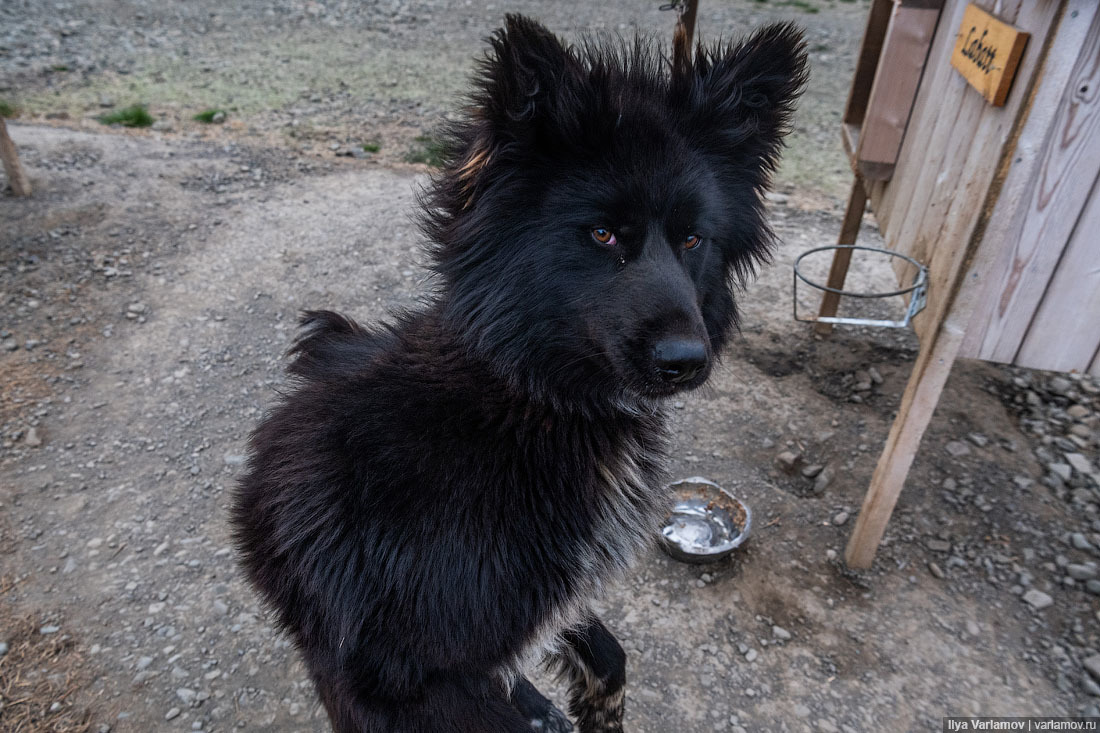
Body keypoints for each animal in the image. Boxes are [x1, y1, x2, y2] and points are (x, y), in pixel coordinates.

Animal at [232, 12, 805, 730]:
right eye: (602, 235)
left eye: (694, 238)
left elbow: (604, 654)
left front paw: (597, 708)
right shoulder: (422, 677)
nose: (687, 362)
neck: (527, 399)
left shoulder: (548, 598)